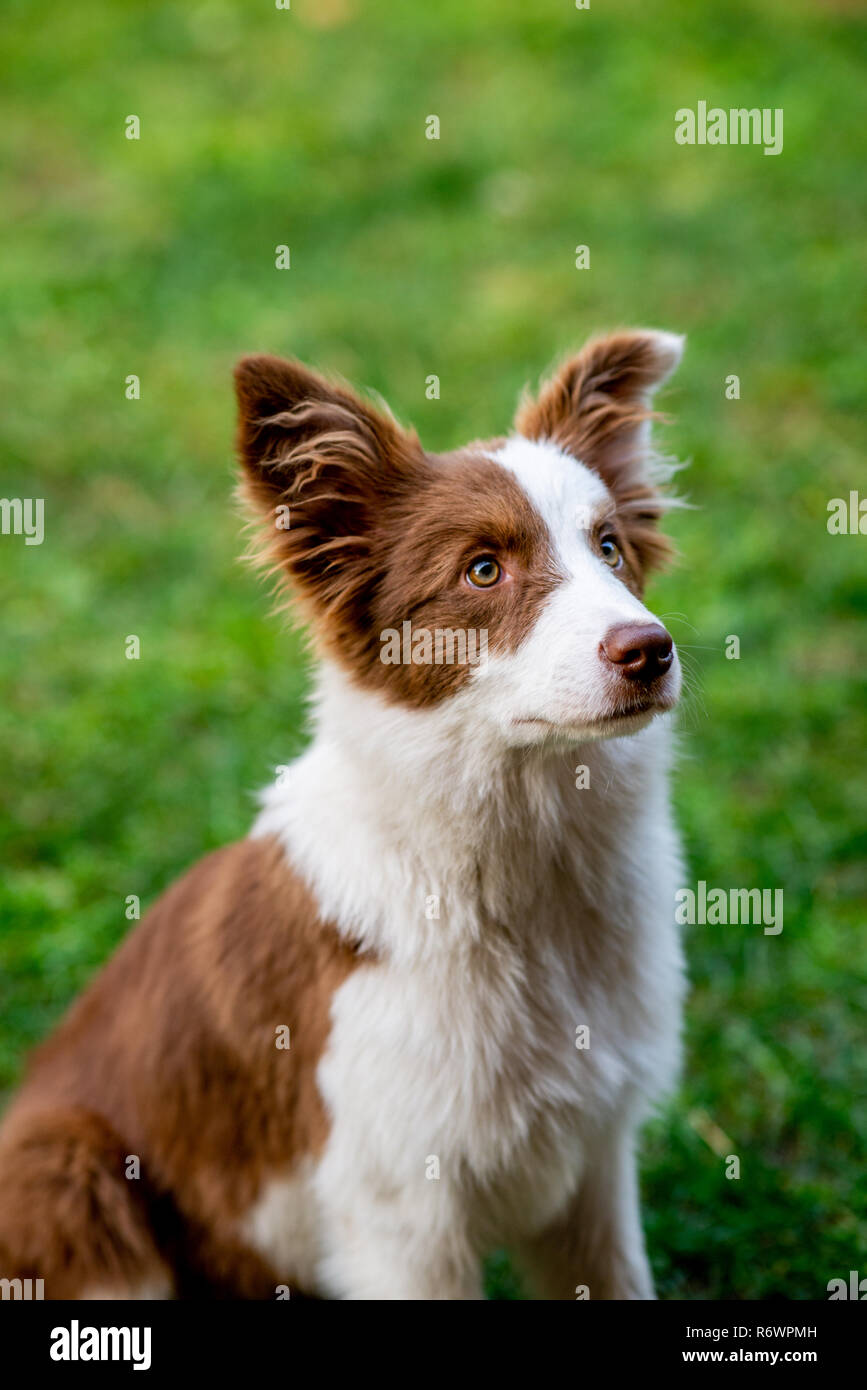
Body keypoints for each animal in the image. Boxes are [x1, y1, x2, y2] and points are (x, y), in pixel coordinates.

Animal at [1, 330, 691, 1295]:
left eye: (610, 547)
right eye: (483, 569)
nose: (650, 651)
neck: (521, 872)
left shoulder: (594, 1164)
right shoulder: (401, 1208)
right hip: (65, 1170)